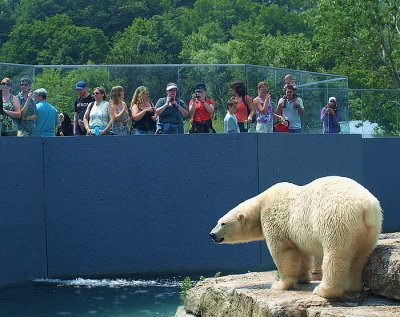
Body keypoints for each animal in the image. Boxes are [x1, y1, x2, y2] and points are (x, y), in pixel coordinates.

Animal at [209, 175, 382, 296]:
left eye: (222, 223)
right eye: (218, 221)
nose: (212, 234)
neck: (261, 203)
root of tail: (366, 208)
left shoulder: (275, 220)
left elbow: (283, 252)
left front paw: (280, 285)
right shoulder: (298, 234)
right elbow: (303, 254)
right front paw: (303, 278)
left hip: (336, 220)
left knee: (335, 256)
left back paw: (324, 291)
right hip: (369, 230)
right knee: (360, 256)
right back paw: (353, 287)